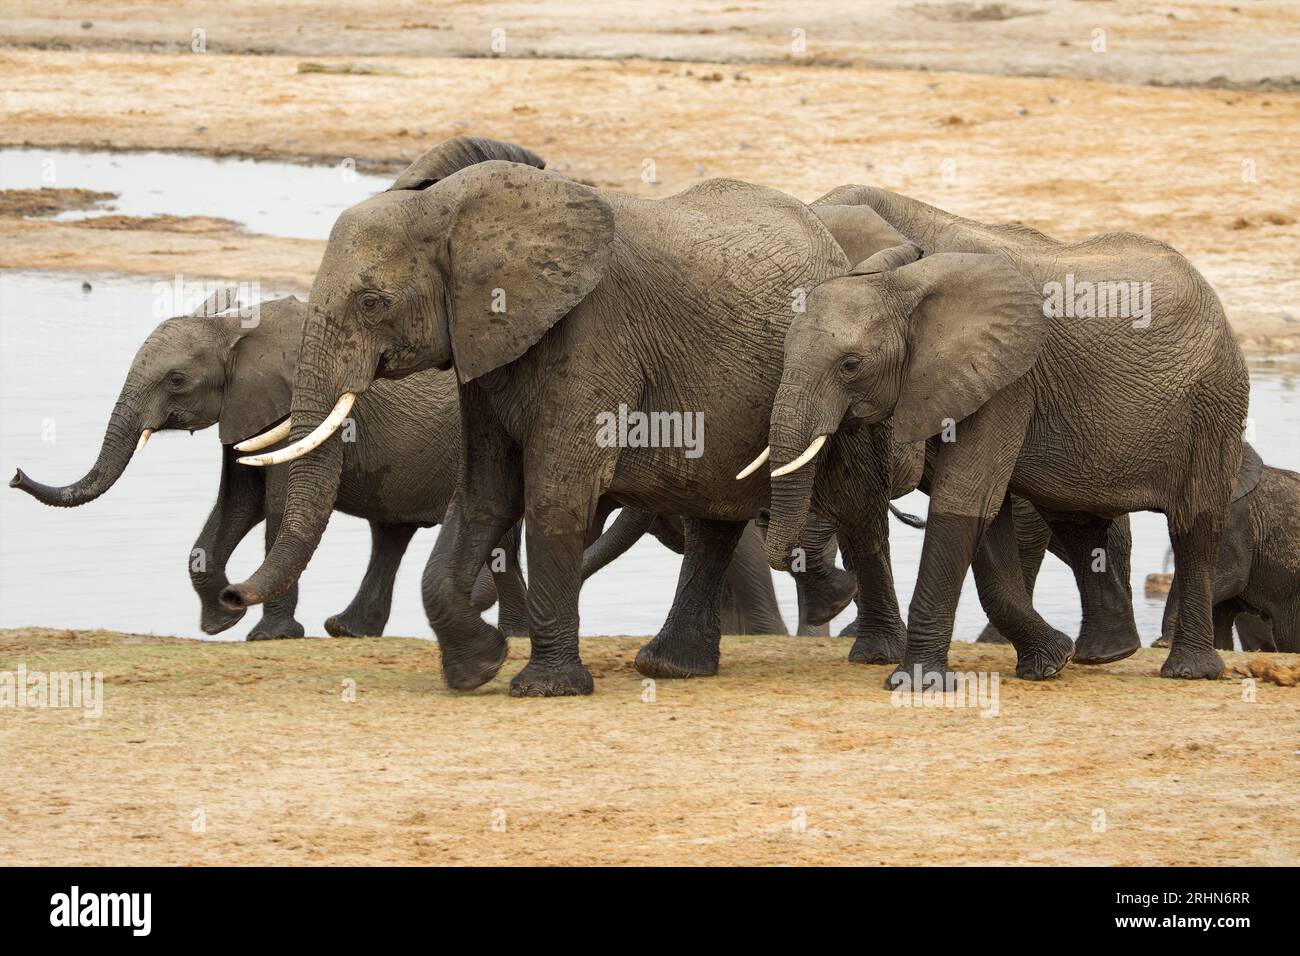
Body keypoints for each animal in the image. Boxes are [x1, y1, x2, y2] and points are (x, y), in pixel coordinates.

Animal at [220, 144, 940, 696]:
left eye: (372, 302)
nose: (230, 597)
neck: (456, 212)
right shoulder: (486, 350)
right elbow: (483, 495)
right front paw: (477, 667)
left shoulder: (594, 334)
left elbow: (555, 492)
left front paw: (542, 688)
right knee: (713, 515)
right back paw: (671, 666)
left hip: (842, 378)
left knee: (854, 503)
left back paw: (871, 654)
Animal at [762, 185, 1251, 687]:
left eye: (850, 365)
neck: (902, 278)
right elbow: (982, 514)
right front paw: (1050, 661)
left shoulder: (1007, 378)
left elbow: (964, 498)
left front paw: (916, 684)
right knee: (1076, 518)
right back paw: (1105, 654)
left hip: (1213, 401)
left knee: (1194, 526)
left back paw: (1189, 670)